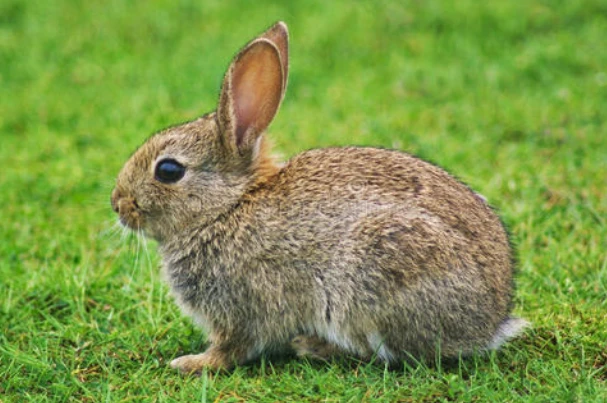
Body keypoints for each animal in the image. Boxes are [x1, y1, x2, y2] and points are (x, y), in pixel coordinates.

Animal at [113, 22, 528, 376]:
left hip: (373, 280)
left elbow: (233, 348)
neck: (227, 208)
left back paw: (312, 346)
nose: (118, 203)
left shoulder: (241, 307)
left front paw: (192, 363)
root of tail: (488, 323)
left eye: (168, 170)